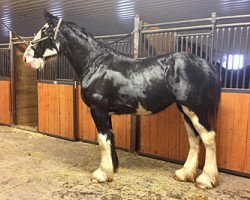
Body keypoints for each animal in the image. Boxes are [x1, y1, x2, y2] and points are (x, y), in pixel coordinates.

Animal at [23, 10, 221, 189]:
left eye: (45, 31)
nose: (26, 58)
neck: (95, 63)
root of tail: (204, 63)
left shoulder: (98, 109)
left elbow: (103, 140)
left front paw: (102, 174)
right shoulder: (105, 112)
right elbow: (110, 137)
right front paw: (112, 168)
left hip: (195, 108)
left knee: (208, 137)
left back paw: (205, 180)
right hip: (184, 109)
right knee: (194, 138)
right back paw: (185, 173)